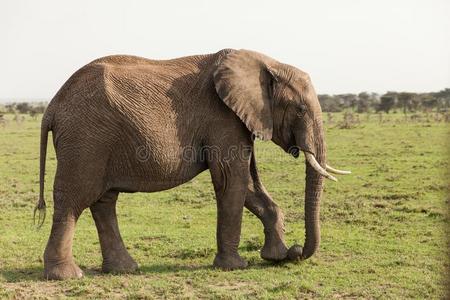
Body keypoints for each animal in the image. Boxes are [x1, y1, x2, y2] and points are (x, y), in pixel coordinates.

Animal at [35, 48, 350, 280]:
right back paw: (67, 276)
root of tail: (52, 106)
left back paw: (124, 270)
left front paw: (274, 256)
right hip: (85, 140)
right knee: (74, 200)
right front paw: (234, 267)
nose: (296, 252)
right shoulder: (222, 117)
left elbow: (248, 185)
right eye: (300, 109)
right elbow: (232, 179)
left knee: (103, 201)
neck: (266, 63)